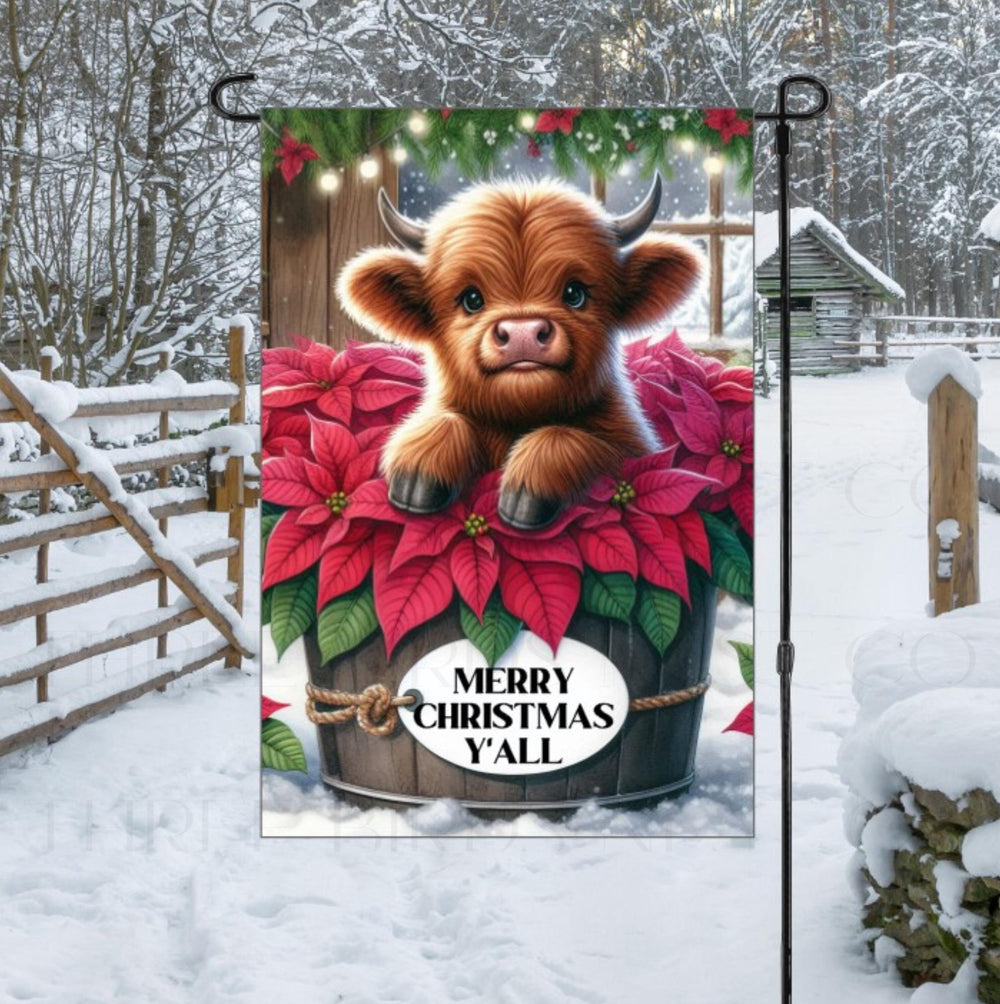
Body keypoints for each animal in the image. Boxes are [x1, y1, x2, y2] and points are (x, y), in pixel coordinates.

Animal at [339, 175, 698, 530]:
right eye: (472, 299)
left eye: (575, 293)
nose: (522, 334)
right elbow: (445, 420)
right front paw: (416, 477)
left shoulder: (633, 447)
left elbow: (570, 436)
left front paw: (526, 493)